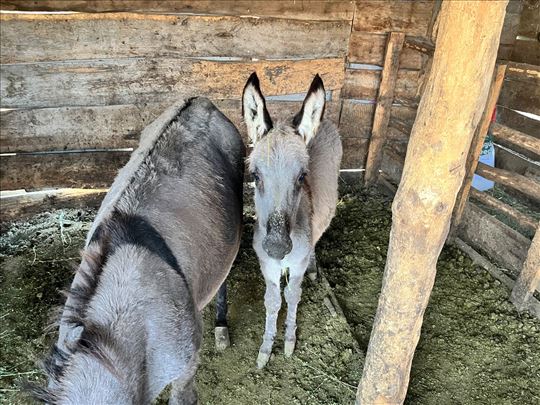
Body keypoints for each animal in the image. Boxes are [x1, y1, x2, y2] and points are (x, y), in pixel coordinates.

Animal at [244, 73, 344, 370]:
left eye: (302, 177)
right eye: (254, 175)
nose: (277, 247)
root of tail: (324, 121)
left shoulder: (296, 263)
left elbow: (292, 295)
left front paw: (288, 340)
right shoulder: (266, 264)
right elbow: (272, 301)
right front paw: (266, 348)